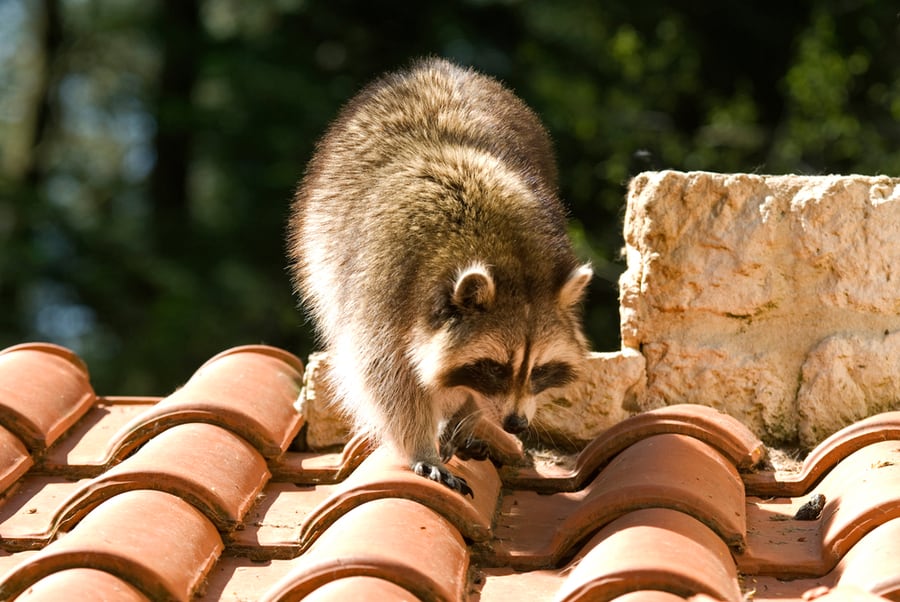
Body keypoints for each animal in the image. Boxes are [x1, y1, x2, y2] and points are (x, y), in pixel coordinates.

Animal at [288, 58, 596, 494]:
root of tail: (437, 66)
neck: (505, 253)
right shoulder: (384, 289)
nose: (516, 424)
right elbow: (386, 378)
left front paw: (466, 413)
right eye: (495, 368)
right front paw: (421, 443)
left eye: (539, 370)